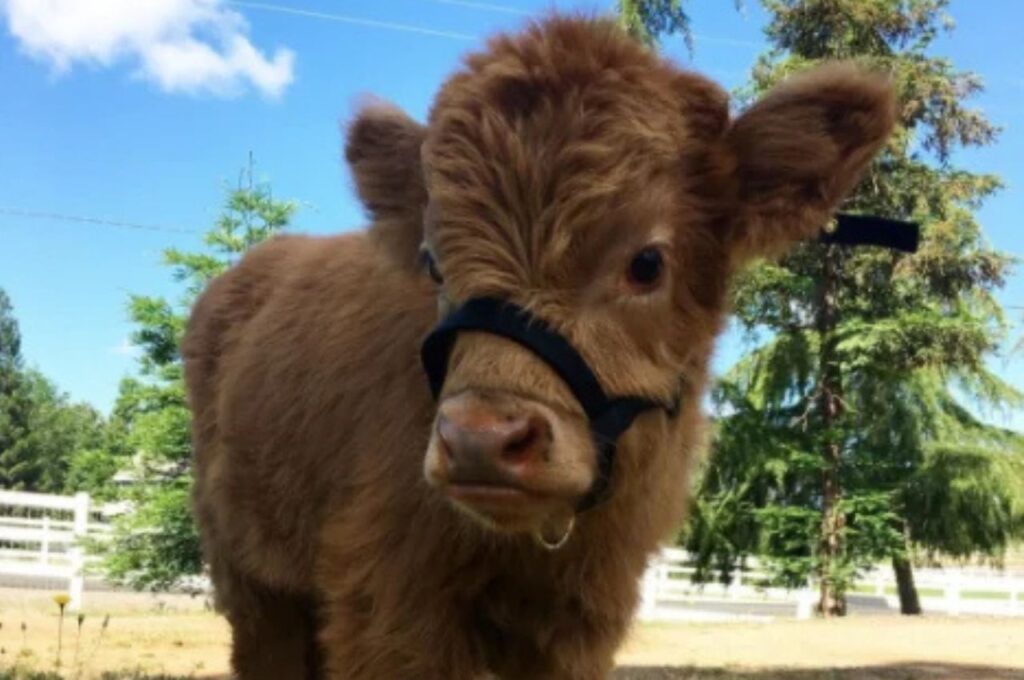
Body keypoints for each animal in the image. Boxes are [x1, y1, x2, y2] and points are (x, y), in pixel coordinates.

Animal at [183, 14, 895, 680]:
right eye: (434, 265)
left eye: (646, 263)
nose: (480, 439)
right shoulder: (388, 602)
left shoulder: (584, 619)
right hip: (251, 577)